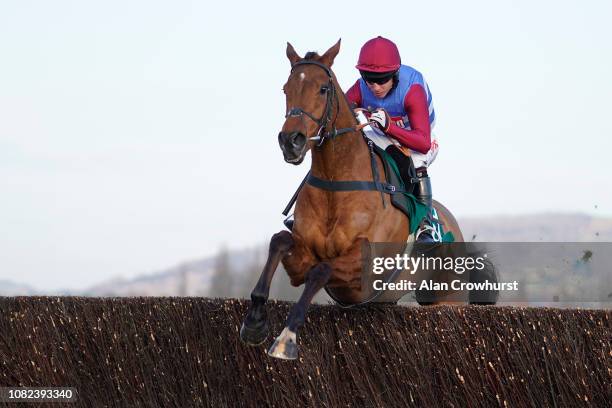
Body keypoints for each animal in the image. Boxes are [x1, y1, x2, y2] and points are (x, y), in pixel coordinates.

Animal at [239, 39, 464, 360]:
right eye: (286, 88)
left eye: (323, 88)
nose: (290, 141)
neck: (336, 182)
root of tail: (453, 223)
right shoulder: (303, 256)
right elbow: (279, 241)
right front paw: (254, 322)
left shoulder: (362, 267)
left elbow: (322, 269)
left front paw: (286, 338)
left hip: (448, 298)